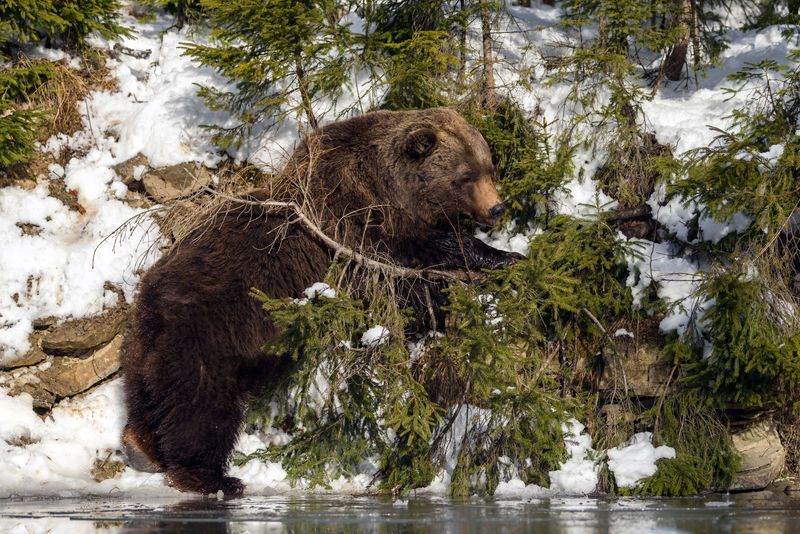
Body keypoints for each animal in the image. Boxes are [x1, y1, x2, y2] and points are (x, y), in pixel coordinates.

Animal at [117, 108, 520, 498]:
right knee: (201, 405)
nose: (498, 208)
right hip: (209, 333)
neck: (388, 188)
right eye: (465, 176)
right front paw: (496, 261)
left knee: (146, 393)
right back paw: (212, 479)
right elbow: (408, 279)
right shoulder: (353, 230)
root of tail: (152, 300)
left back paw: (140, 446)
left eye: (489, 167)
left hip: (142, 341)